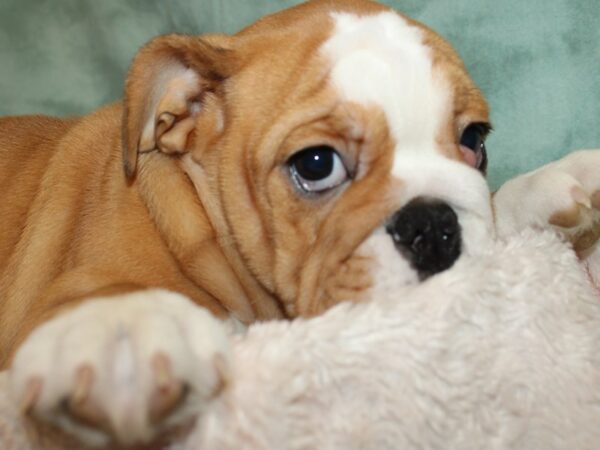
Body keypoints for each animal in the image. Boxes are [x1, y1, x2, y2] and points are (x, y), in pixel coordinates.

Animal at [0, 0, 596, 444]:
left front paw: (551, 185)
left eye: (475, 139)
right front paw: (122, 327)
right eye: (315, 164)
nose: (432, 226)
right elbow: (97, 296)